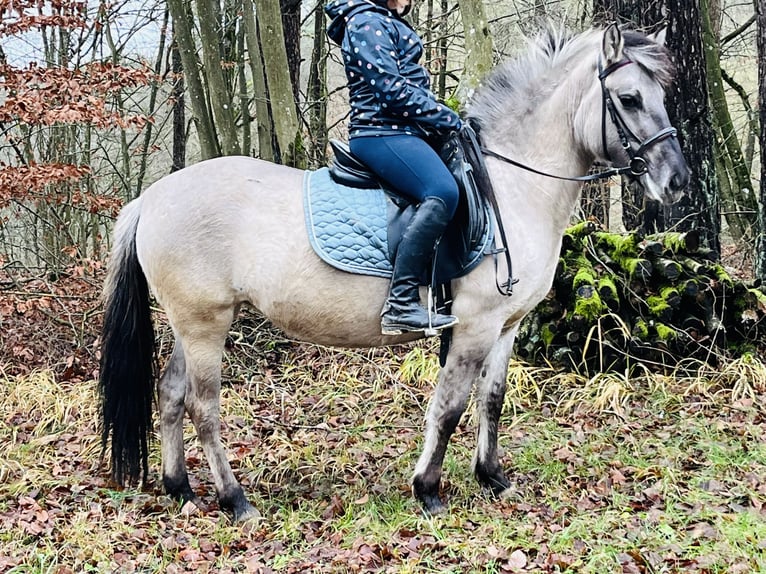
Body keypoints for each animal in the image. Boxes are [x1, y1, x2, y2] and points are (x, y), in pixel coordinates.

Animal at [99, 24, 692, 520]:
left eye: (661, 97)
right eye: (629, 98)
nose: (676, 181)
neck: (512, 187)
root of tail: (150, 198)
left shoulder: (507, 326)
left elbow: (492, 399)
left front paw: (492, 477)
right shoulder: (474, 326)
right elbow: (449, 406)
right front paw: (428, 490)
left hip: (191, 325)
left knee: (170, 393)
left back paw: (181, 489)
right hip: (205, 324)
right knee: (203, 406)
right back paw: (234, 499)